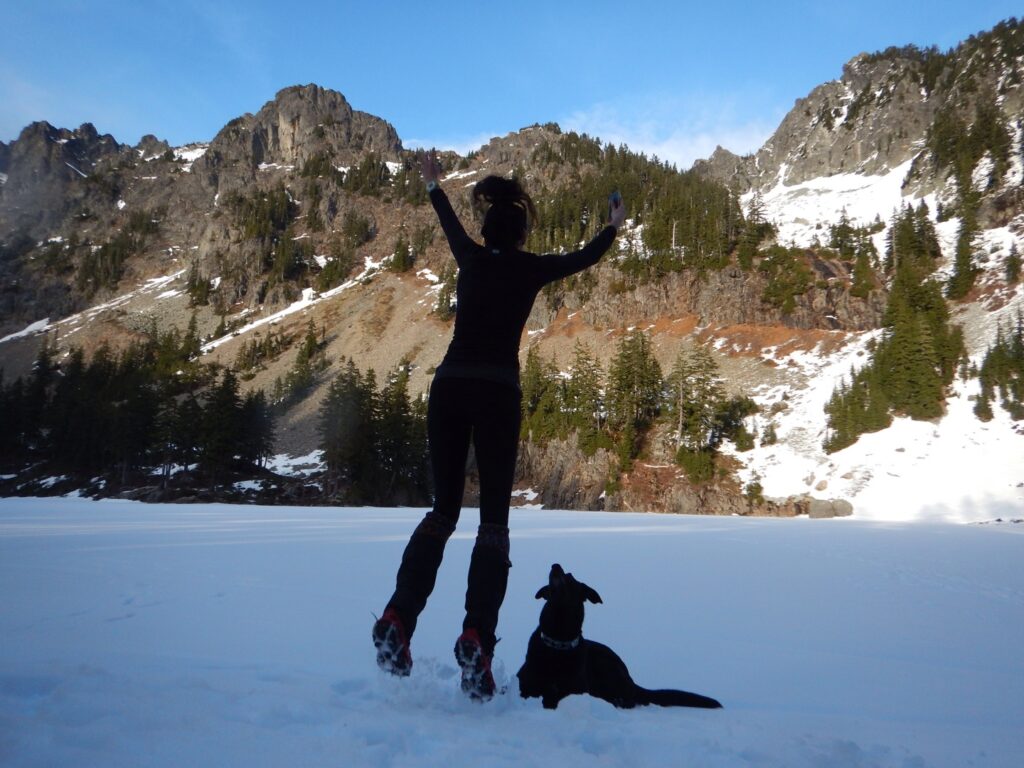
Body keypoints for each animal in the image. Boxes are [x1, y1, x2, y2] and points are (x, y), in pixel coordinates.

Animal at [516, 561, 724, 712]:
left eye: (570, 577)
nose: (555, 565)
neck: (558, 641)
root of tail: (631, 680)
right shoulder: (525, 685)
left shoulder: (576, 689)